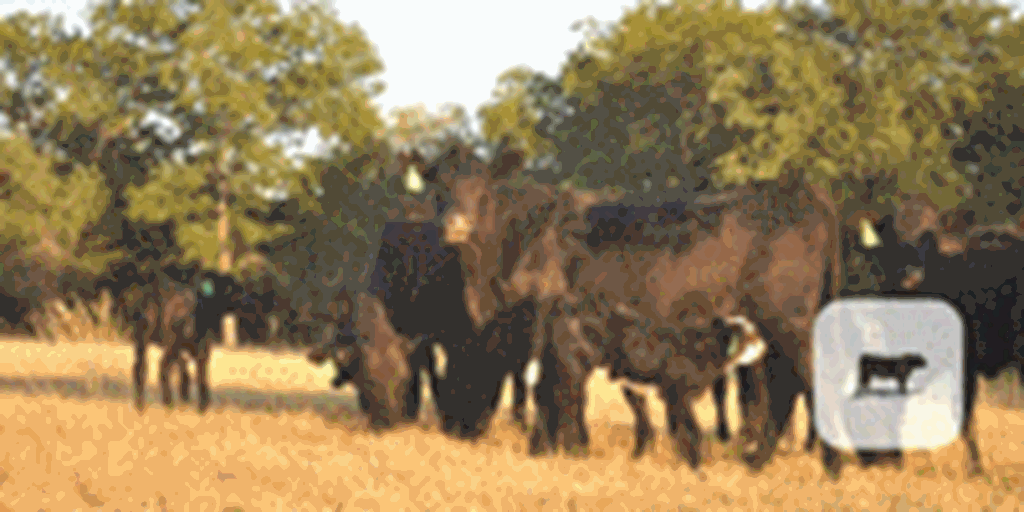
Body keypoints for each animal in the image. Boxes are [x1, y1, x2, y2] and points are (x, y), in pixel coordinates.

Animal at [440, 169, 845, 474]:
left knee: (805, 381)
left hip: (788, 323)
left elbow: (554, 392)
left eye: (458, 366)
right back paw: (759, 459)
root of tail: (796, 189)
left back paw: (827, 464)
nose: (451, 429)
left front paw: (562, 446)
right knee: (782, 387)